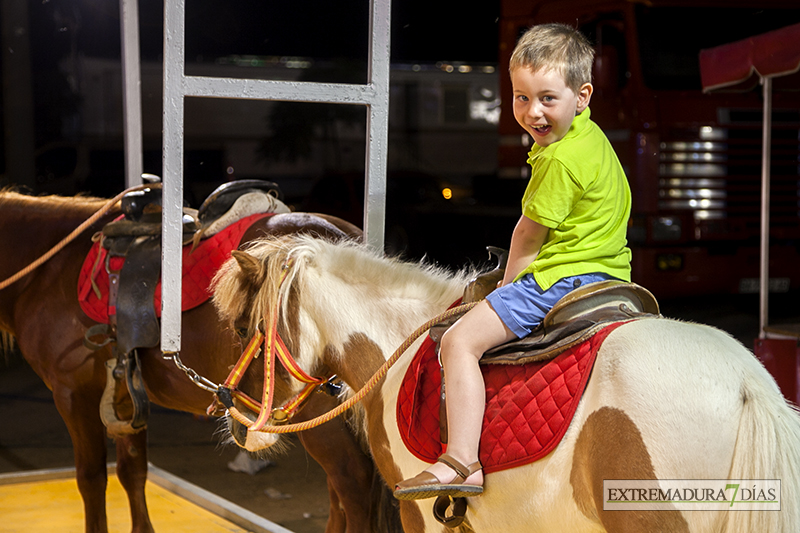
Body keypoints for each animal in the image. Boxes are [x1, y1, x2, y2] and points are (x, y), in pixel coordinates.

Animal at [0, 190, 400, 532]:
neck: (49, 270)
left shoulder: (72, 393)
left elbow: (91, 479)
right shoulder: (125, 396)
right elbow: (132, 470)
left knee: (352, 483)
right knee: (339, 494)